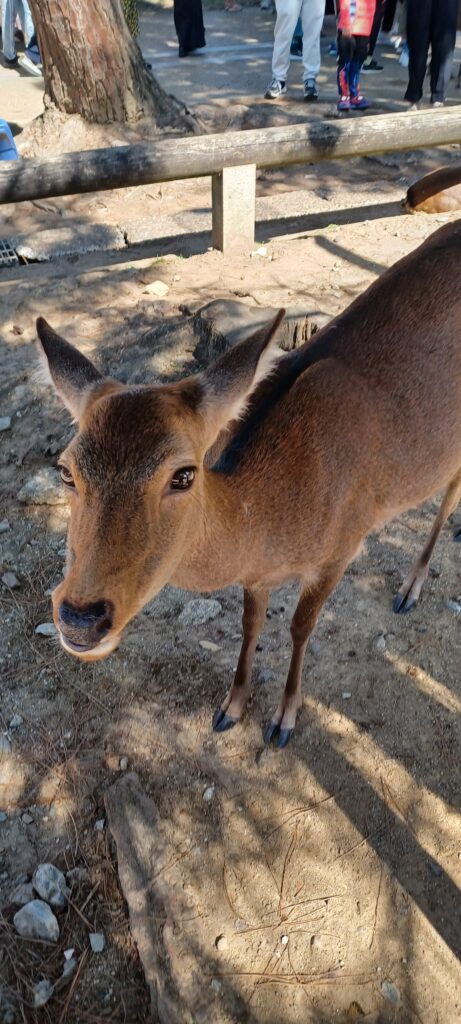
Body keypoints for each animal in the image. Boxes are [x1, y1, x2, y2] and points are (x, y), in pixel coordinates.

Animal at [36, 224, 461, 749]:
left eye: (183, 474)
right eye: (65, 470)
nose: (79, 617)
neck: (267, 520)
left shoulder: (343, 545)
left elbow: (301, 626)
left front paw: (283, 720)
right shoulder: (257, 577)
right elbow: (250, 624)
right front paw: (230, 707)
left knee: (449, 490)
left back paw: (410, 588)